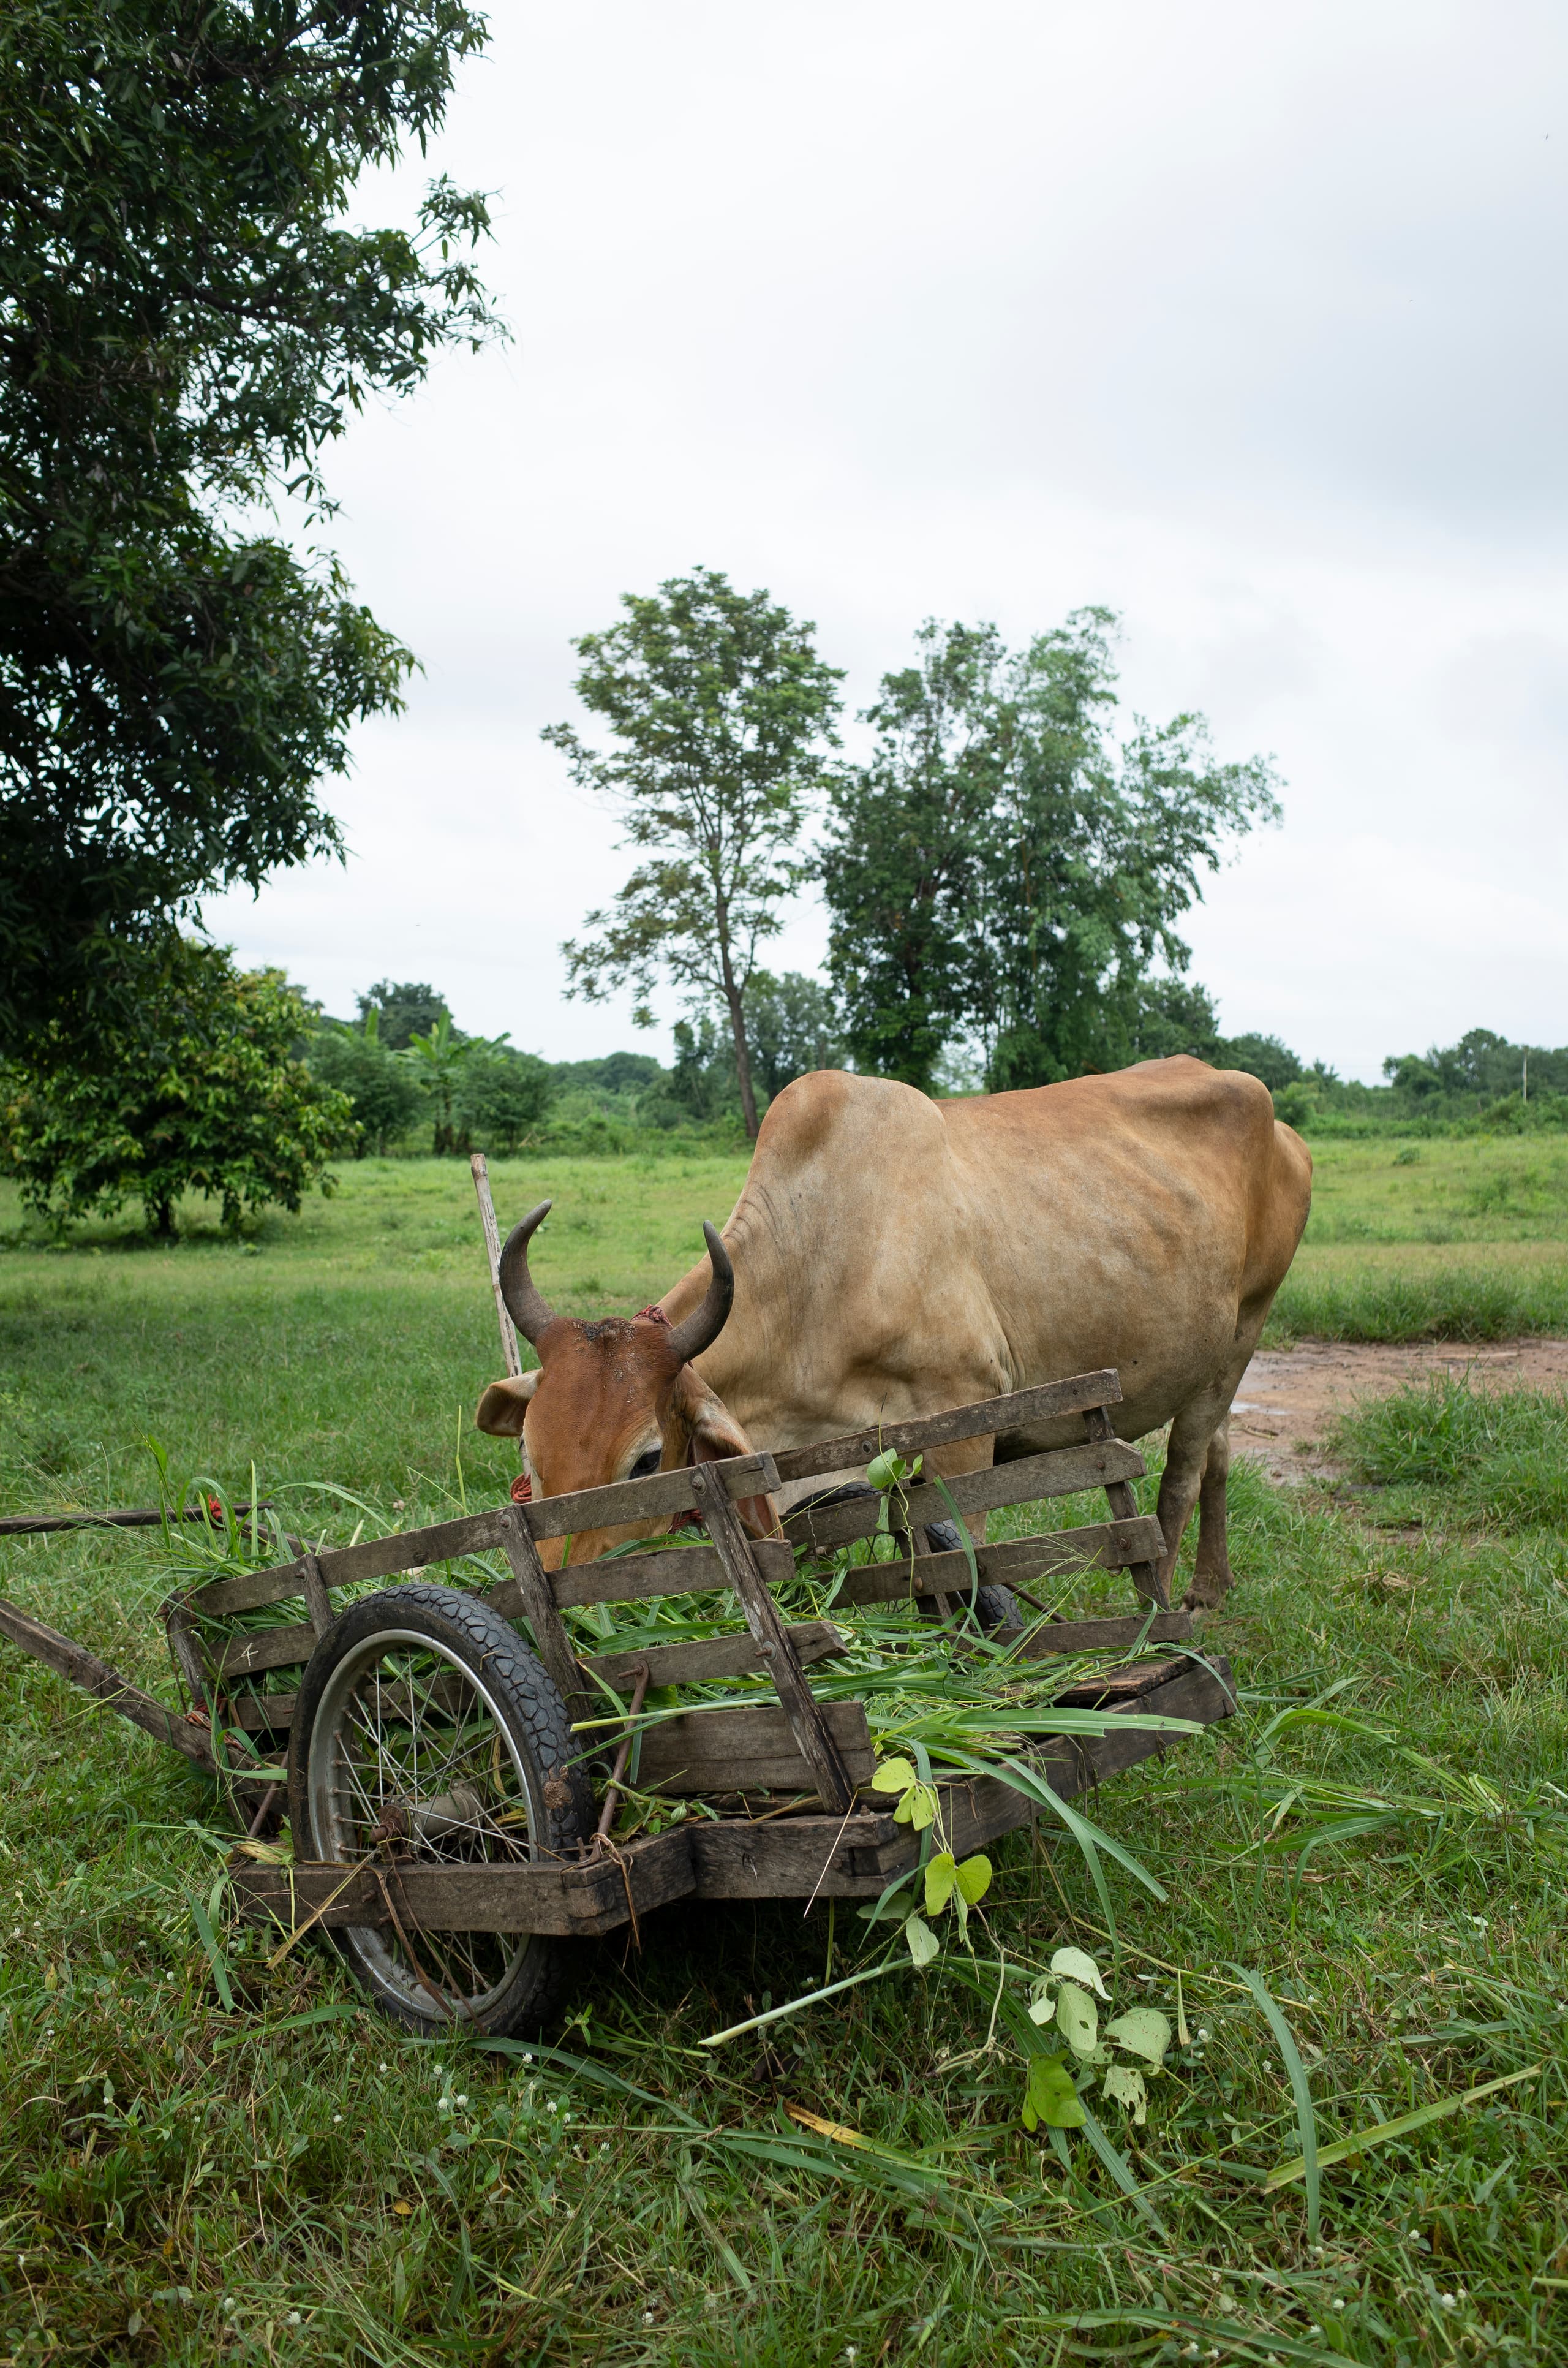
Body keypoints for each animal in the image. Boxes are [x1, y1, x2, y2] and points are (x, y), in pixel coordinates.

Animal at [475, 1057, 1312, 1605]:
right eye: (529, 1452)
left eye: (647, 1461)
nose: (559, 1593)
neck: (820, 1263)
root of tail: (1282, 1126)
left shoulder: (965, 1420)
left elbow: (967, 1560)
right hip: (1209, 1359)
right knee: (1220, 1453)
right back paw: (1212, 1586)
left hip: (1244, 1331)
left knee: (1182, 1474)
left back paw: (1165, 1605)